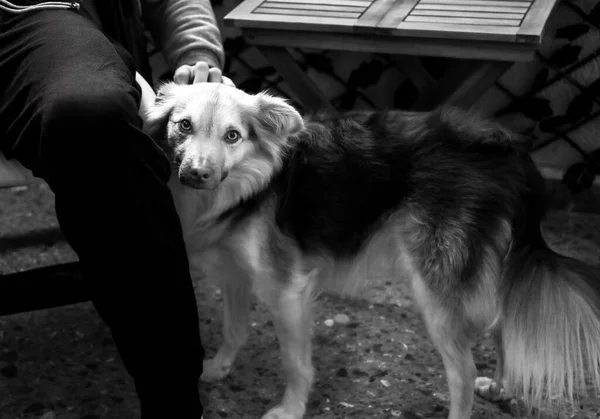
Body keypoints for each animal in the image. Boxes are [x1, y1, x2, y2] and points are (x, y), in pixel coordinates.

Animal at [143, 83, 600, 419]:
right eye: (183, 126)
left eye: (233, 135)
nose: (196, 174)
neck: (248, 183)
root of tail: (508, 150)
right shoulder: (237, 272)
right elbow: (234, 329)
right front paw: (218, 368)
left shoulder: (285, 289)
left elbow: (295, 363)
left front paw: (290, 409)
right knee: (501, 320)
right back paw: (503, 385)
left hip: (434, 285)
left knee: (465, 370)